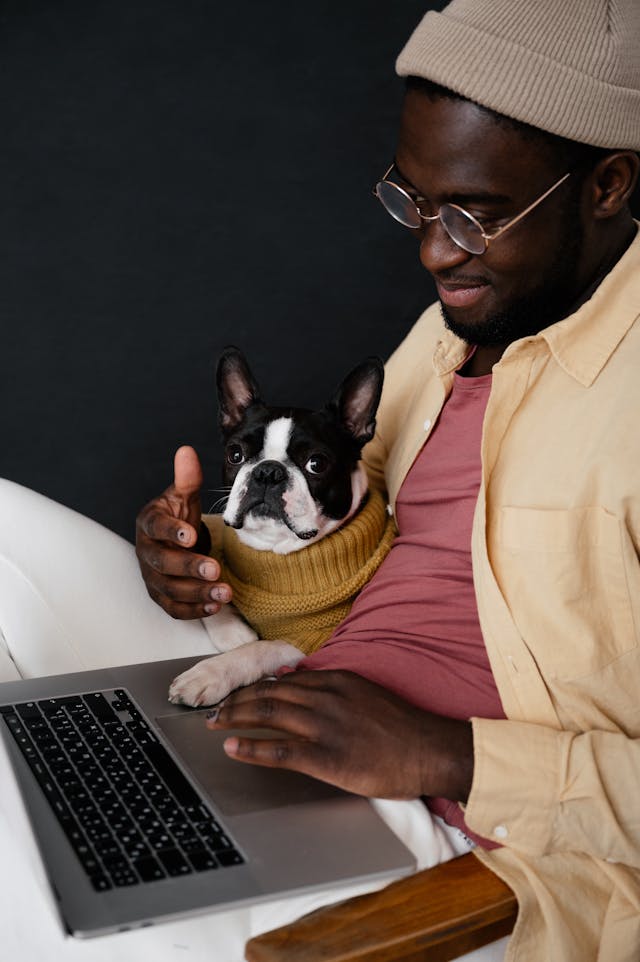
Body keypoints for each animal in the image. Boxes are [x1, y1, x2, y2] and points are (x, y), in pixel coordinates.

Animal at [168, 344, 392, 704]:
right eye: (235, 454)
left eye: (317, 464)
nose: (268, 472)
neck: (275, 551)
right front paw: (234, 631)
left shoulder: (312, 639)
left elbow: (261, 649)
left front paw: (209, 673)